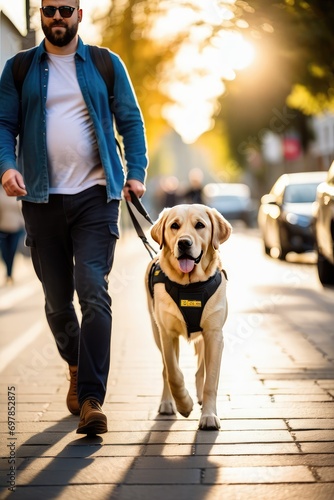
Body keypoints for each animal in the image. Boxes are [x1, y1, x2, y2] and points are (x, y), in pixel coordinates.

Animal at [146, 203, 232, 430]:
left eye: (200, 225)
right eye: (174, 226)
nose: (184, 242)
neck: (190, 286)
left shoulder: (214, 334)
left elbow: (211, 380)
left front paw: (209, 415)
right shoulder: (167, 334)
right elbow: (173, 374)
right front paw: (184, 404)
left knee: (201, 369)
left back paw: (201, 398)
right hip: (156, 332)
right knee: (165, 371)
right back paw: (168, 403)